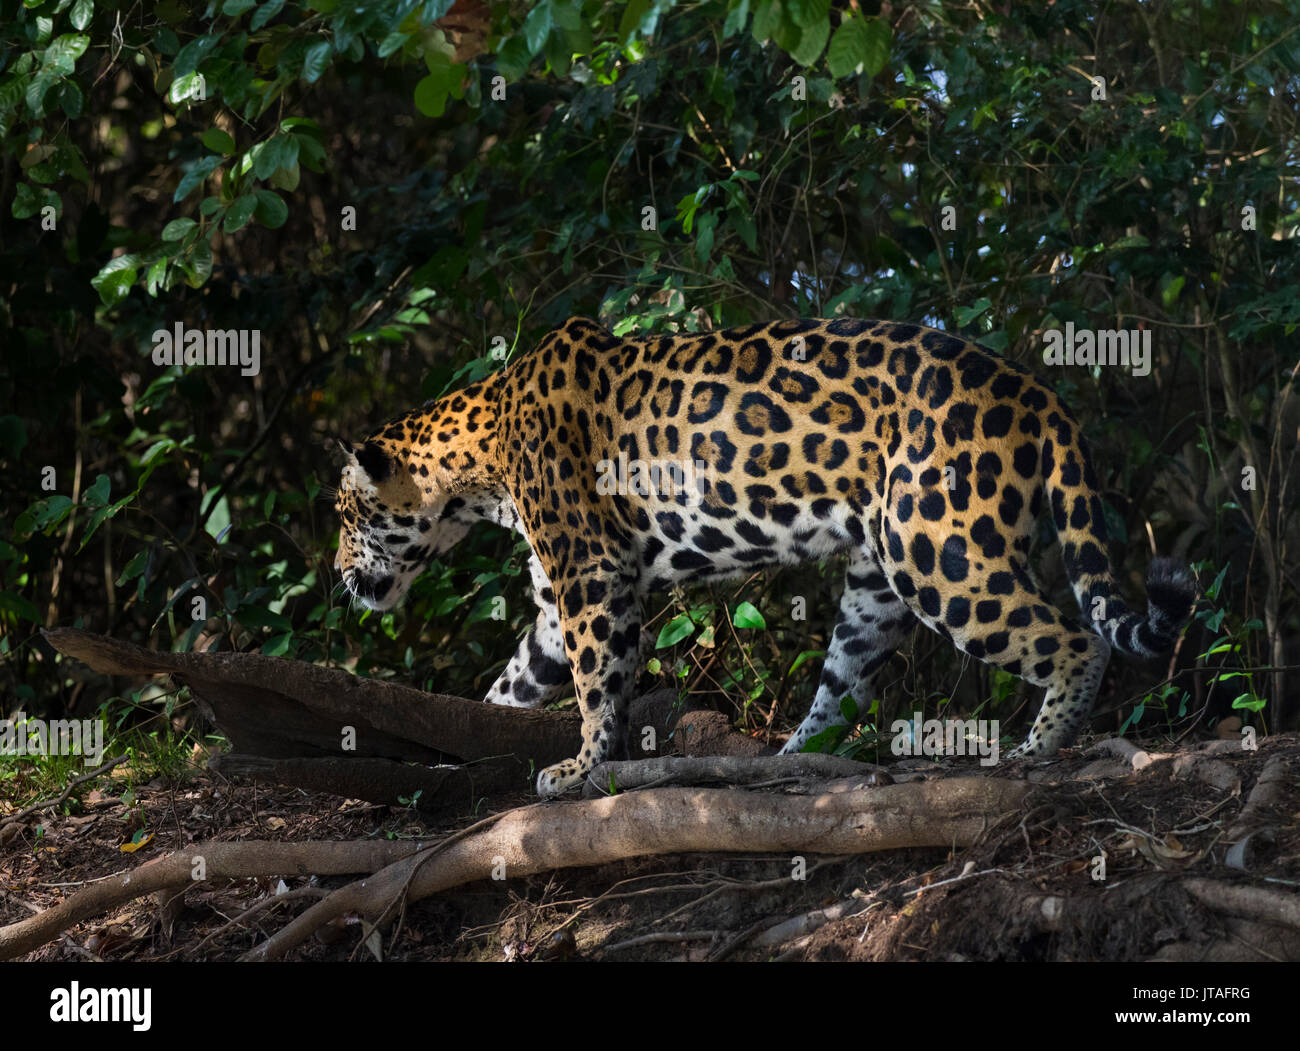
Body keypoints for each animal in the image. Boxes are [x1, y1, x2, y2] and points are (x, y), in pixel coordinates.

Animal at [334, 316, 1197, 797]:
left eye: (345, 516)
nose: (340, 575)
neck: (478, 459)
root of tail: (1035, 388)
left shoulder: (591, 576)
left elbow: (596, 684)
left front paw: (580, 770)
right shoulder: (556, 599)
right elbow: (512, 682)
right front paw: (452, 754)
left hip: (940, 550)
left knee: (1074, 638)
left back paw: (1036, 747)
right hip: (879, 578)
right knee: (844, 682)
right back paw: (785, 760)